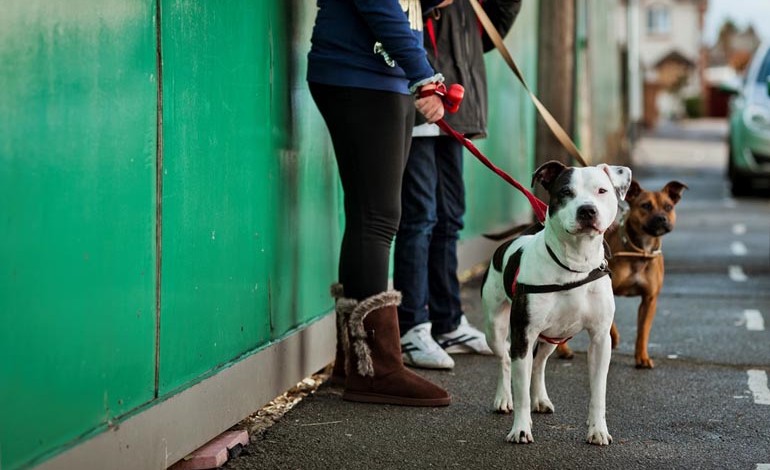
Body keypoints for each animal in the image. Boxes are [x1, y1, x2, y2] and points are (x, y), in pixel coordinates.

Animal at [480, 160, 632, 446]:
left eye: (602, 190)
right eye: (565, 192)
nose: (587, 210)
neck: (575, 265)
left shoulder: (600, 339)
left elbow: (598, 392)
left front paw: (597, 430)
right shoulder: (523, 335)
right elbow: (520, 391)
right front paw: (520, 429)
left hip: (556, 335)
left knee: (539, 363)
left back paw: (540, 399)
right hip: (494, 329)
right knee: (505, 359)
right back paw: (503, 398)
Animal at [556, 180, 688, 368]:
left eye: (668, 207)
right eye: (645, 205)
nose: (661, 218)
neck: (641, 251)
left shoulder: (649, 300)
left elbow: (643, 331)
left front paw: (642, 357)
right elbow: (610, 322)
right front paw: (614, 337)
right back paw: (563, 350)